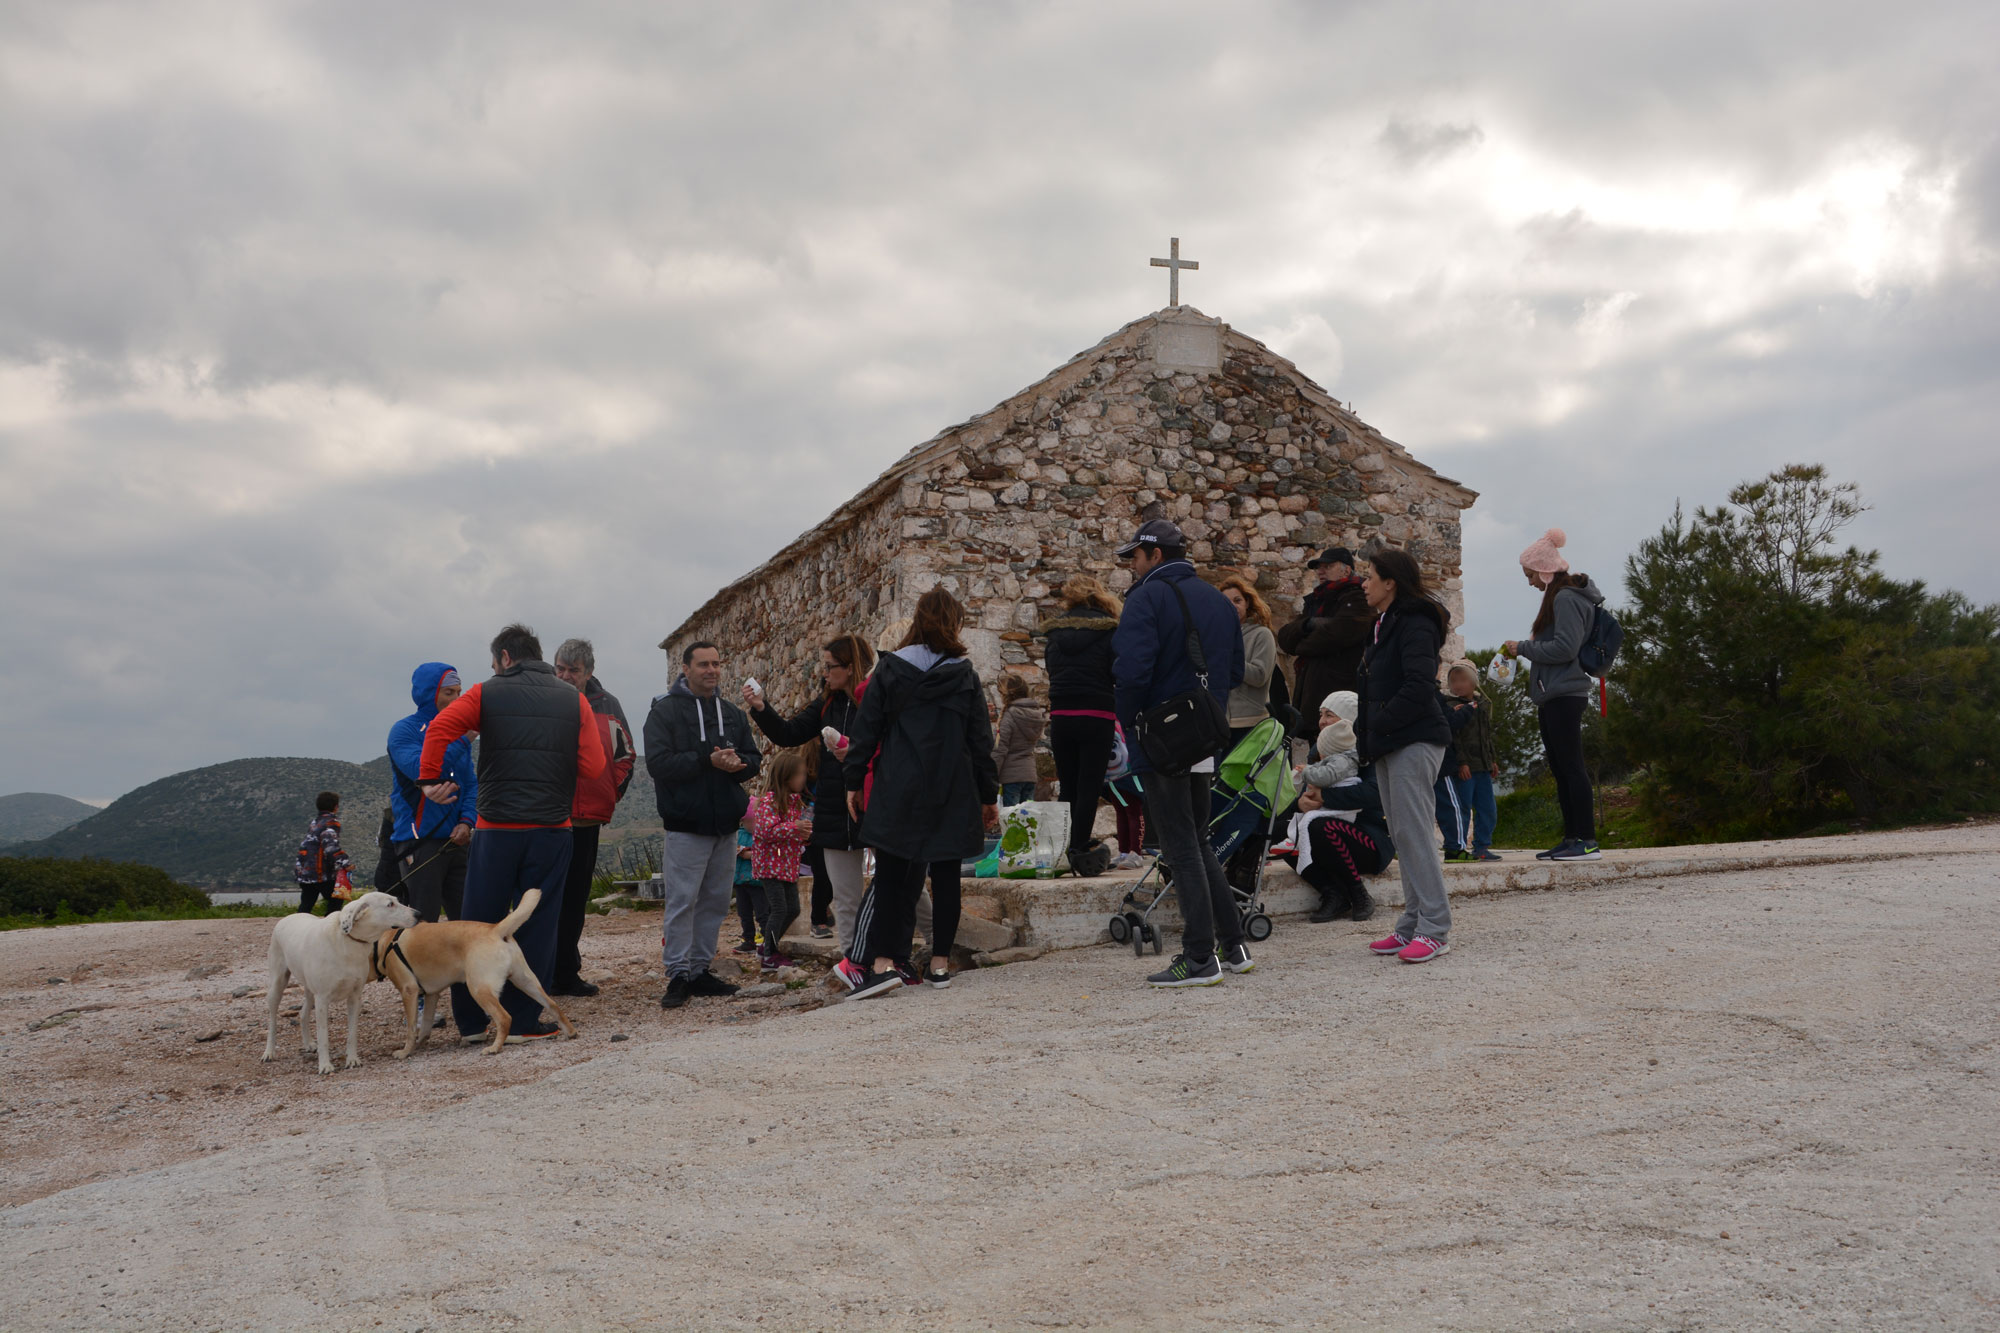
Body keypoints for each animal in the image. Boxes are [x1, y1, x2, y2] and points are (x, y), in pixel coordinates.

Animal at [263, 890, 417, 1075]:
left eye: (397, 900)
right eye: (390, 905)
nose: (418, 914)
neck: (349, 941)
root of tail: (288, 916)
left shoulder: (355, 997)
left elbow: (352, 1034)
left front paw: (352, 1060)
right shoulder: (322, 1000)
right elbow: (323, 1036)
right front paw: (325, 1065)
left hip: (310, 991)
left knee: (302, 1013)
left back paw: (308, 1044)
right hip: (277, 985)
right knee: (272, 1021)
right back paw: (269, 1052)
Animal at [372, 887, 575, 1057]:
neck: (387, 939)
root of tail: (495, 929)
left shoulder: (409, 991)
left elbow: (412, 1028)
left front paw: (405, 1052)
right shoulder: (432, 995)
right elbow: (426, 1024)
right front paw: (420, 1043)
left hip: (479, 989)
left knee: (504, 1018)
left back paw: (494, 1047)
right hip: (526, 981)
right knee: (552, 1005)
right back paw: (570, 1032)